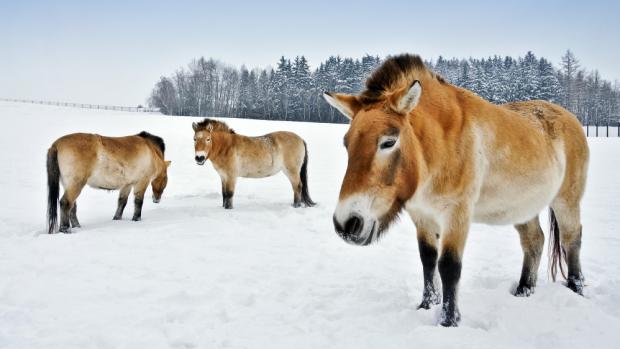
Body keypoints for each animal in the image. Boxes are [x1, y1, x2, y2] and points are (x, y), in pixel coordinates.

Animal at [324, 53, 592, 324]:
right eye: (347, 143)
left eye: (388, 142)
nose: (347, 224)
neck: (441, 146)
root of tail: (570, 118)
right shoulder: (422, 214)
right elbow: (428, 260)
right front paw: (426, 305)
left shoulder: (457, 212)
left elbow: (449, 267)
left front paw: (449, 321)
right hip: (524, 208)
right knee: (534, 242)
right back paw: (523, 290)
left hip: (566, 200)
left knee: (572, 239)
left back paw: (576, 289)